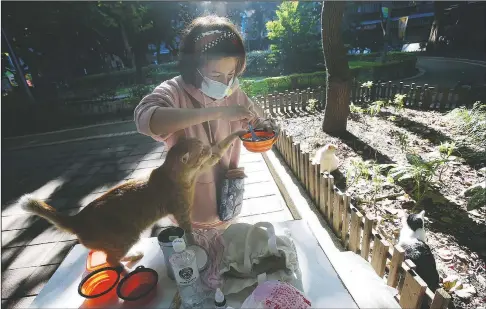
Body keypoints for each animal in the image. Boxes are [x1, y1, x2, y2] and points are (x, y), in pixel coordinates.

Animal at [19, 129, 247, 264]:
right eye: (201, 149)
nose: (207, 148)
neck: (179, 177)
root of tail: (78, 219)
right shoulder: (182, 213)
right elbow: (189, 233)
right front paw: (195, 244)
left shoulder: (206, 165)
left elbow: (223, 146)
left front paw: (240, 130)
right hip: (126, 237)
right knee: (110, 260)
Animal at [133, 15, 278, 230]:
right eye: (216, 74)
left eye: (231, 74)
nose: (228, 83)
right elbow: (149, 107)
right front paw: (230, 112)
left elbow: (253, 113)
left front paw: (266, 125)